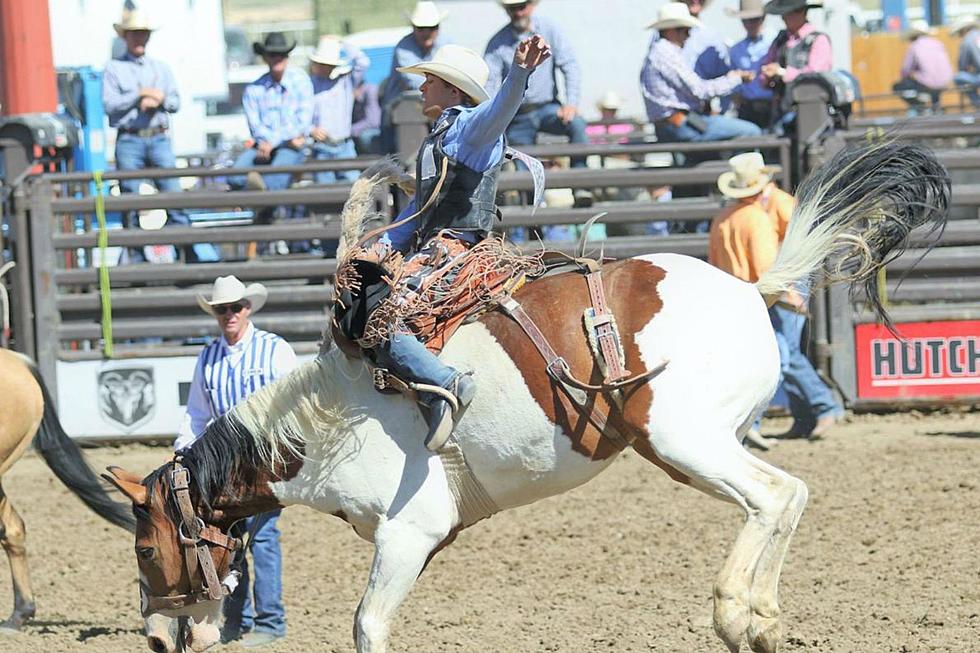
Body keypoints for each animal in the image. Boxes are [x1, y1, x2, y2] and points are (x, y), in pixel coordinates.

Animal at [107, 143, 948, 652]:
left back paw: (735, 611)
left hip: (682, 439)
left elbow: (368, 623)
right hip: (706, 441)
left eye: (146, 547)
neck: (323, 424)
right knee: (785, 493)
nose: (153, 634)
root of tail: (753, 287)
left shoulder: (410, 530)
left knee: (773, 496)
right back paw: (764, 620)